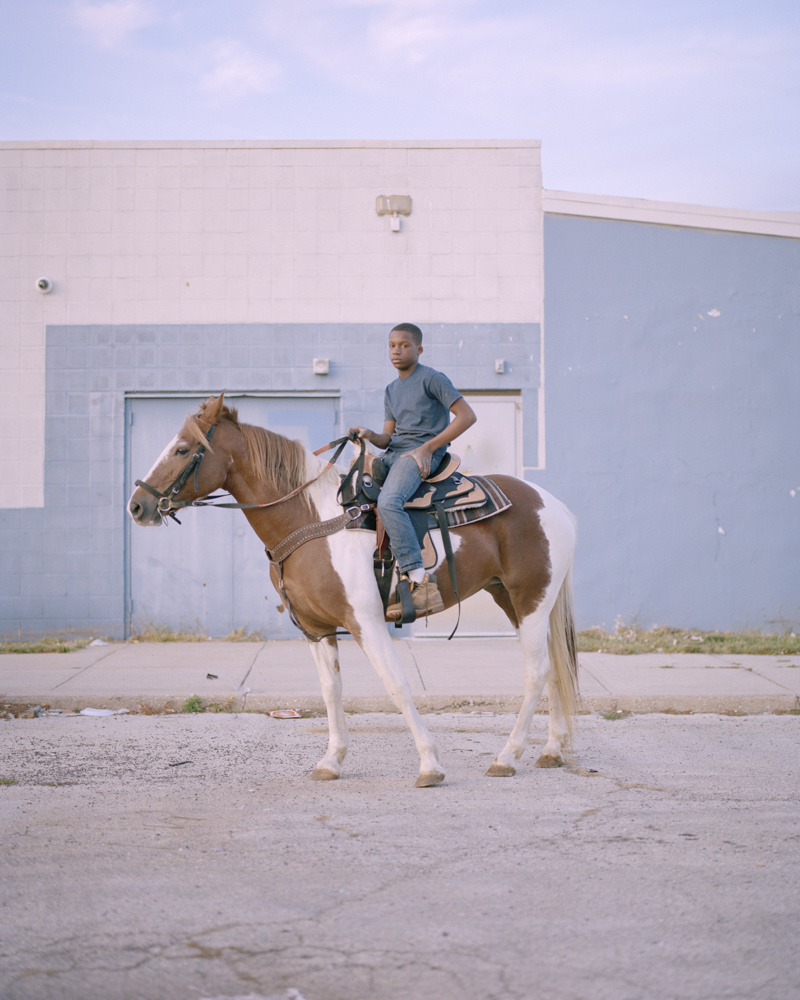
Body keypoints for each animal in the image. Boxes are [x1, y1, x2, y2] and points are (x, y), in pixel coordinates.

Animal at [128, 396, 580, 788]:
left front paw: (430, 764)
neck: (310, 519)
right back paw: (552, 750)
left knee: (536, 672)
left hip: (530, 598)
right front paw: (331, 761)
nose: (137, 505)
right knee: (553, 667)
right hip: (511, 598)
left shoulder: (366, 621)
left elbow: (396, 685)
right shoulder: (316, 629)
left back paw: (508, 756)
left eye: (183, 450)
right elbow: (331, 691)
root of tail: (554, 504)